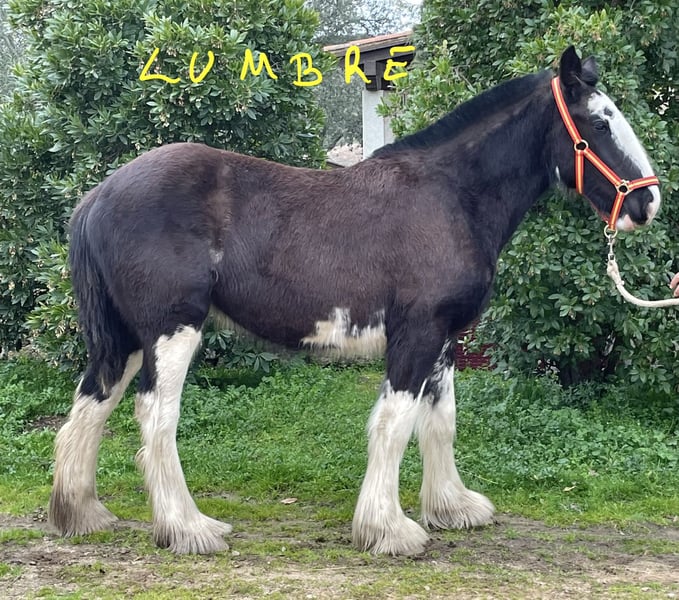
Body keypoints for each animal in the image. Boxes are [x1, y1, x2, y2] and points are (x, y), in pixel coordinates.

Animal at [48, 46, 661, 556]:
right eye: (599, 121)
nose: (648, 202)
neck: (451, 196)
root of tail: (98, 195)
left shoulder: (443, 340)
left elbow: (439, 420)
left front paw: (452, 507)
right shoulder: (416, 334)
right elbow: (394, 424)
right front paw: (388, 530)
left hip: (125, 339)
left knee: (92, 402)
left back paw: (82, 515)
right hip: (172, 330)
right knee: (157, 415)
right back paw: (189, 529)